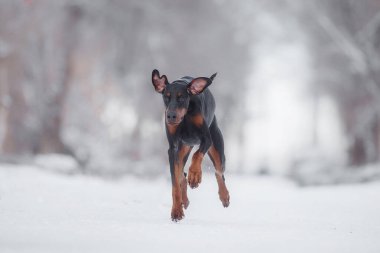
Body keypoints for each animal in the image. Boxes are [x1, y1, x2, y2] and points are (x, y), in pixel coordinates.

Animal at [151, 69, 229, 221]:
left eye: (181, 98)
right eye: (166, 97)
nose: (171, 116)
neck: (185, 116)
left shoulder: (206, 139)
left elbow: (197, 155)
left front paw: (195, 176)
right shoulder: (173, 148)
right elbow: (175, 183)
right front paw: (176, 211)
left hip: (216, 147)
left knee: (219, 172)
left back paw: (224, 196)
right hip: (183, 149)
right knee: (181, 174)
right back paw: (184, 200)